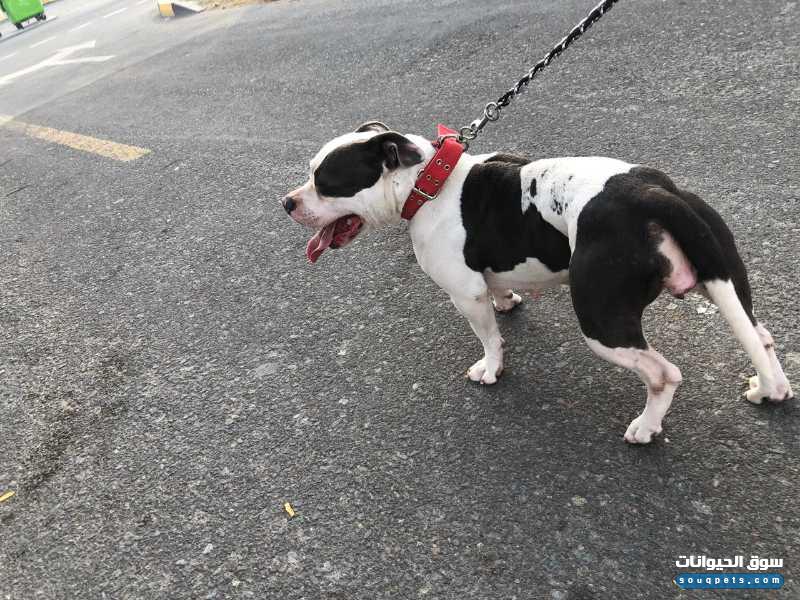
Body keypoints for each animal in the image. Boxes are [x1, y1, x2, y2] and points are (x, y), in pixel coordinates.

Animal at [282, 121, 794, 443]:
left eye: (325, 182)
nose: (287, 202)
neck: (428, 183)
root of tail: (652, 192)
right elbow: (500, 291)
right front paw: (508, 300)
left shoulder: (465, 294)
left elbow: (489, 337)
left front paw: (491, 369)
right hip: (724, 273)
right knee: (762, 337)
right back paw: (770, 389)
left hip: (601, 320)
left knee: (663, 374)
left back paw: (646, 428)